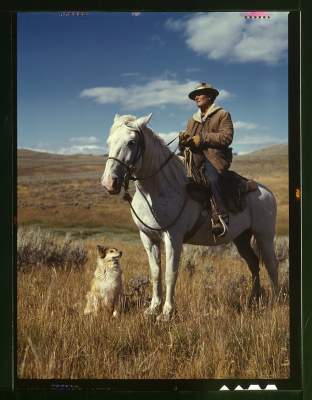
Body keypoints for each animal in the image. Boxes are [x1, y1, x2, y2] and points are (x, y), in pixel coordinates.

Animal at [102, 114, 278, 320]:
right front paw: (153, 309)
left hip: (264, 236)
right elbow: (155, 273)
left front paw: (167, 313)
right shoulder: (147, 237)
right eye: (109, 142)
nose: (109, 182)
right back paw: (254, 299)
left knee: (272, 265)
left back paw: (274, 301)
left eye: (131, 142)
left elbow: (170, 273)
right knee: (254, 264)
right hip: (241, 238)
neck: (158, 188)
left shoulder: (173, 236)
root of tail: (266, 192)